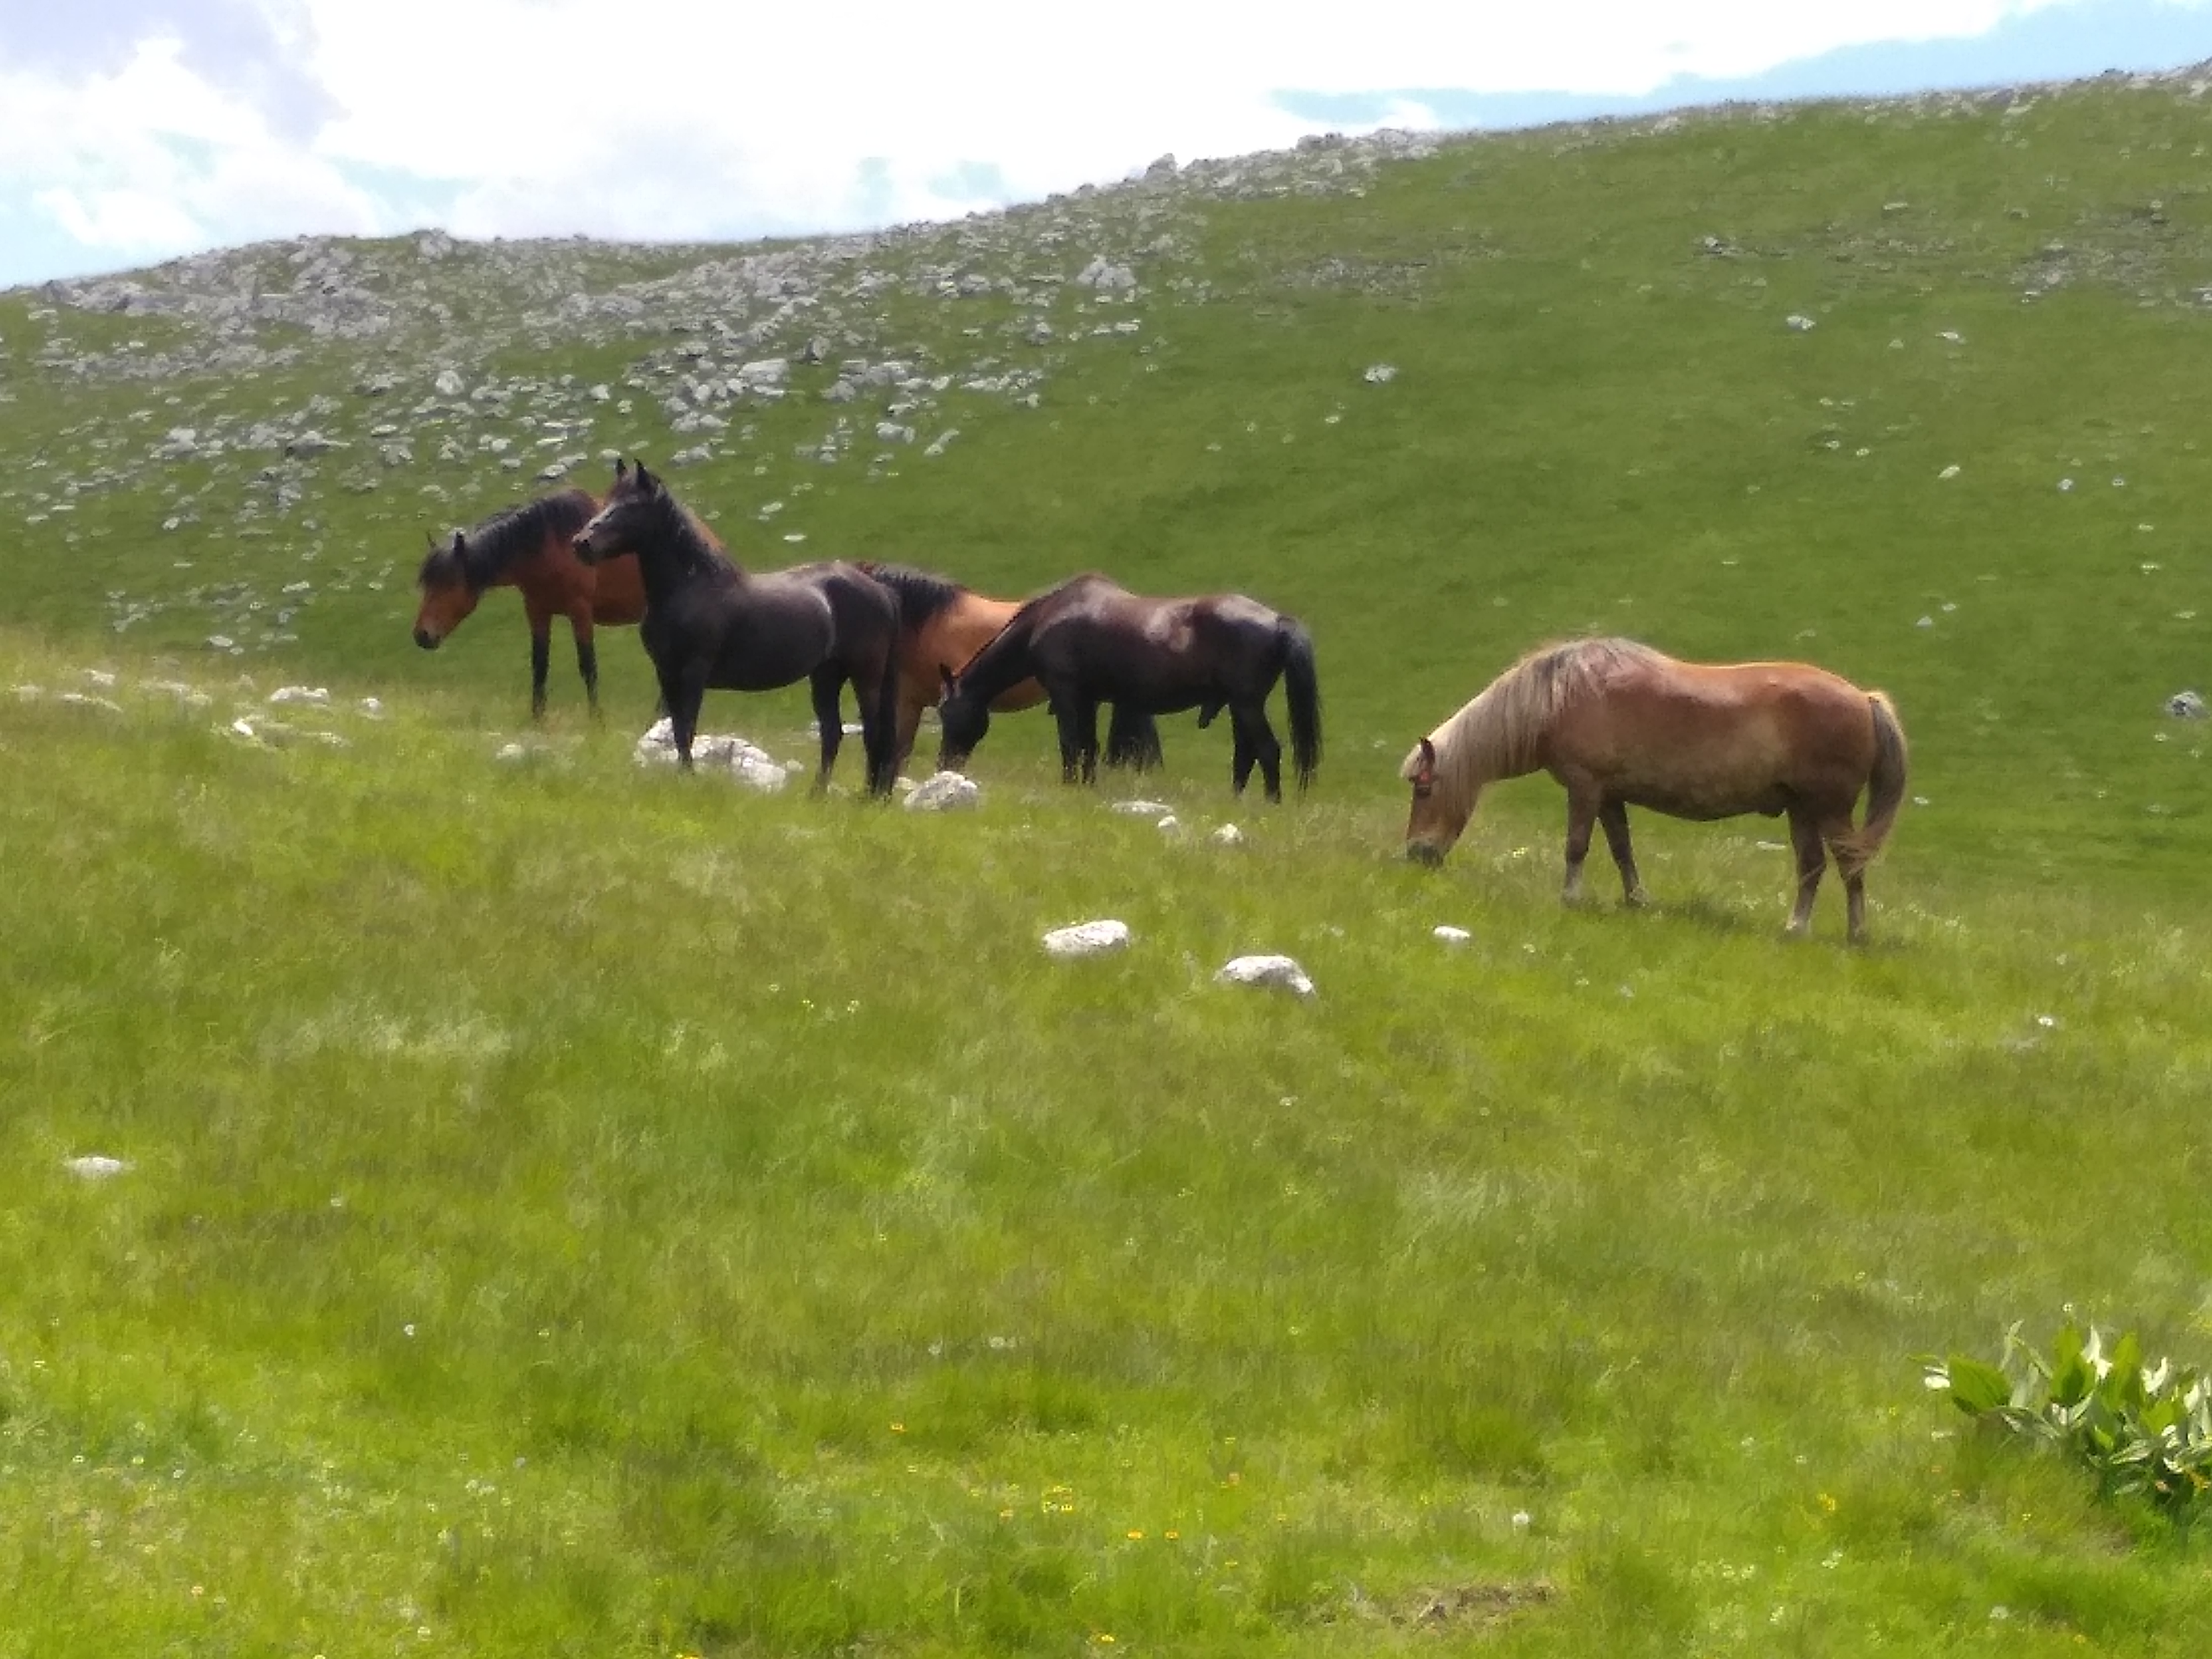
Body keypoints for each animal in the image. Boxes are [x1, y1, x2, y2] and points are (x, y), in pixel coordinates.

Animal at [412, 487, 644, 718]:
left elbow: (588, 666)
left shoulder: (581, 611)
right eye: (426, 583)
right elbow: (539, 667)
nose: (422, 635)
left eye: (450, 583)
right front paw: (537, 719)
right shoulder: (536, 610)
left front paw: (596, 719)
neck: (555, 545)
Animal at [571, 461, 902, 796]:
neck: (690, 588)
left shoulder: (693, 672)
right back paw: (817, 796)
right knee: (832, 734)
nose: (582, 543)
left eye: (632, 504)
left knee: (872, 734)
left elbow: (686, 729)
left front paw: (689, 781)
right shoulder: (666, 673)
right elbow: (674, 728)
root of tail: (881, 591)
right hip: (826, 675)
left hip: (865, 675)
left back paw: (866, 796)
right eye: (607, 499)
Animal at [936, 572, 1321, 800]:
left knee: (1267, 750)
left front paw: (1070, 786)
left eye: (945, 714)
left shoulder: (1066, 694)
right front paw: (1087, 787)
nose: (945, 766)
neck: (1050, 616)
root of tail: (1277, 620)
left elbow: (1070, 744)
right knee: (1246, 753)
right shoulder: (1088, 700)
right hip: (1241, 706)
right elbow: (1088, 747)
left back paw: (1271, 802)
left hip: (1246, 704)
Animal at [1399, 637, 1908, 942]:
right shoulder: (1609, 795)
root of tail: (1865, 699)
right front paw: (1636, 901)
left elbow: (1576, 846)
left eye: (1423, 791)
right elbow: (1622, 849)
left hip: (1830, 808)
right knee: (1812, 865)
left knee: (1849, 864)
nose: (1416, 855)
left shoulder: (1585, 787)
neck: (1560, 696)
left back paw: (1856, 933)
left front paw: (1571, 898)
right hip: (1801, 809)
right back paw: (1796, 928)